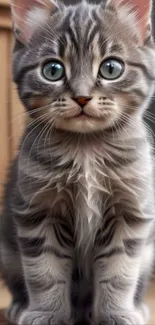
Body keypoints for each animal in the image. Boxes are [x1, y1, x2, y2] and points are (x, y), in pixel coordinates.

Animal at [0, 0, 155, 322]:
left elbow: (119, 272)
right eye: (53, 70)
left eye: (111, 68)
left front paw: (116, 313)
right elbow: (44, 271)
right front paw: (45, 312)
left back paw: (137, 306)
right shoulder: (39, 211)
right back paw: (20, 306)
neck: (86, 151)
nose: (82, 97)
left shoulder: (129, 213)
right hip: (7, 252)